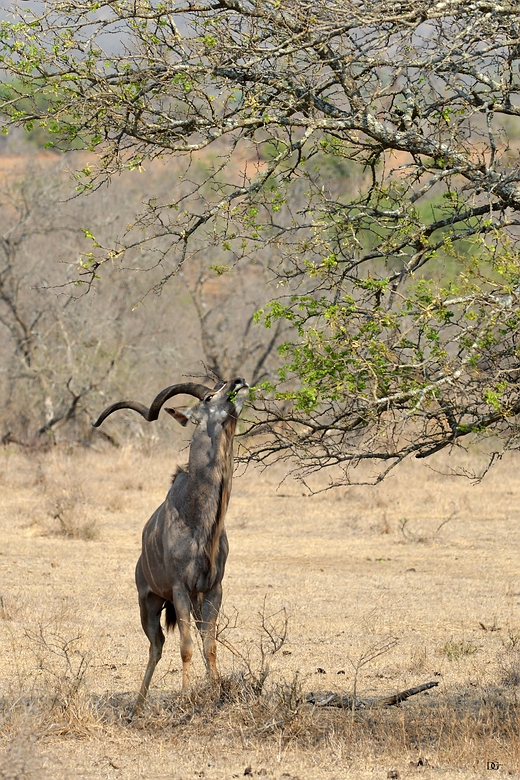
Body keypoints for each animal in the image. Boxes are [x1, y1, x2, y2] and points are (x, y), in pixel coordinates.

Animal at [92, 378, 249, 712]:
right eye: (209, 396)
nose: (238, 382)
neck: (197, 518)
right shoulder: (179, 589)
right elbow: (186, 647)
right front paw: (187, 697)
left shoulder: (212, 590)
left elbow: (209, 645)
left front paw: (217, 693)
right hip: (149, 604)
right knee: (157, 646)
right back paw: (137, 705)